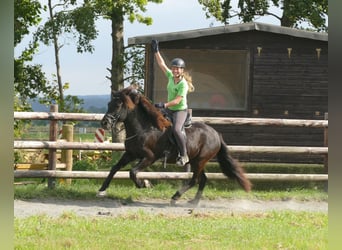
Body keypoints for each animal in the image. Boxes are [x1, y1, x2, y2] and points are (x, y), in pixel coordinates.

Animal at [97, 86, 251, 205]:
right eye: (109, 104)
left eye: (118, 105)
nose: (104, 123)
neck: (144, 128)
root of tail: (216, 134)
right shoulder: (130, 154)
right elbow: (114, 168)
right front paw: (102, 189)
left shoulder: (150, 157)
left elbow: (133, 172)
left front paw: (144, 184)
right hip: (196, 160)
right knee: (202, 179)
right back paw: (194, 202)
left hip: (200, 160)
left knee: (194, 180)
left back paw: (175, 197)